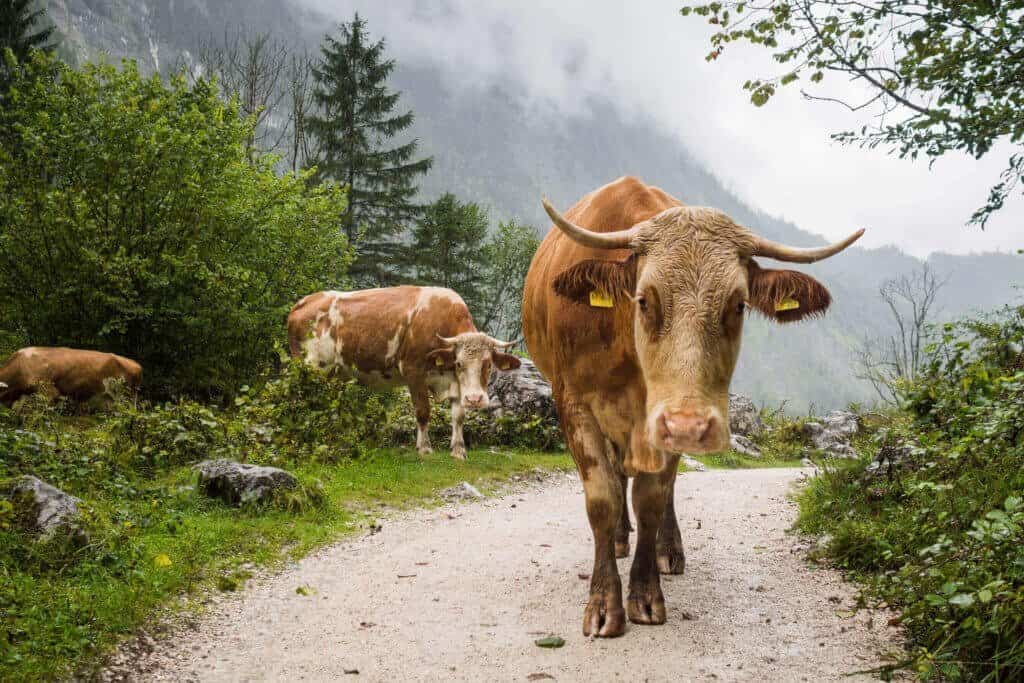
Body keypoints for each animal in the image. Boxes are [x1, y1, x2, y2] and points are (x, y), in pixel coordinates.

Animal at [286, 286, 520, 462]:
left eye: (488, 365)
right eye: (460, 363)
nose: (475, 399)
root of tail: (304, 302)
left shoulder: (454, 382)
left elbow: (458, 415)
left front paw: (458, 450)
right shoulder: (413, 371)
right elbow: (423, 411)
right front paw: (424, 448)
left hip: (334, 372)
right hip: (311, 367)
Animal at [520, 176, 864, 634]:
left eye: (738, 305)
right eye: (644, 299)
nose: (689, 426)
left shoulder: (664, 421)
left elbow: (651, 498)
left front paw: (644, 594)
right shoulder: (574, 403)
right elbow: (603, 498)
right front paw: (604, 604)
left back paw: (667, 550)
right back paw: (619, 538)